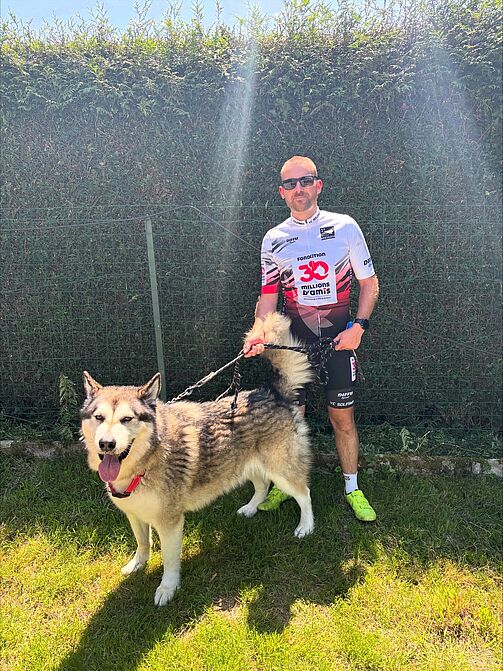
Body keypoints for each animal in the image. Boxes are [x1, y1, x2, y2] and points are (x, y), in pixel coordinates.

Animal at [80, 312, 314, 606]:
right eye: (99, 417)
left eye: (127, 419)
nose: (107, 444)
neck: (145, 464)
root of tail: (274, 392)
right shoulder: (135, 514)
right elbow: (143, 544)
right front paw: (137, 565)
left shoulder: (170, 523)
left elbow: (169, 562)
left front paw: (167, 589)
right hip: (246, 465)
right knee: (262, 486)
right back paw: (251, 508)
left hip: (282, 471)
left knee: (304, 494)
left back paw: (306, 527)